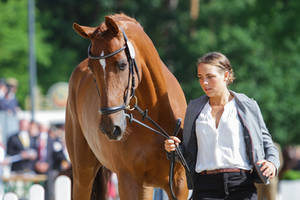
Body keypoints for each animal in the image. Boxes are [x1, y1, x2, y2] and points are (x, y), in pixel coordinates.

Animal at [65, 13, 188, 199]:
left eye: (122, 64)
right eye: (92, 69)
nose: (110, 127)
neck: (156, 113)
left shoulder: (179, 183)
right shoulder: (128, 181)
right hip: (82, 174)